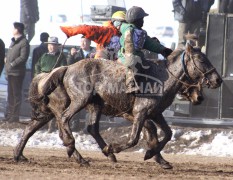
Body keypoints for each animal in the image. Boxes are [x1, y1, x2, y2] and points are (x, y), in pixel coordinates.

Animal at [14, 42, 222, 169]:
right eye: (201, 59)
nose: (217, 80)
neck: (162, 77)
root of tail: (65, 68)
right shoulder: (139, 113)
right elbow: (135, 138)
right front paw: (113, 148)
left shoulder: (155, 114)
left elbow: (166, 134)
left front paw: (156, 157)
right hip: (79, 101)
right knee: (64, 121)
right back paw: (75, 149)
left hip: (80, 108)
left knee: (34, 128)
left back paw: (19, 155)